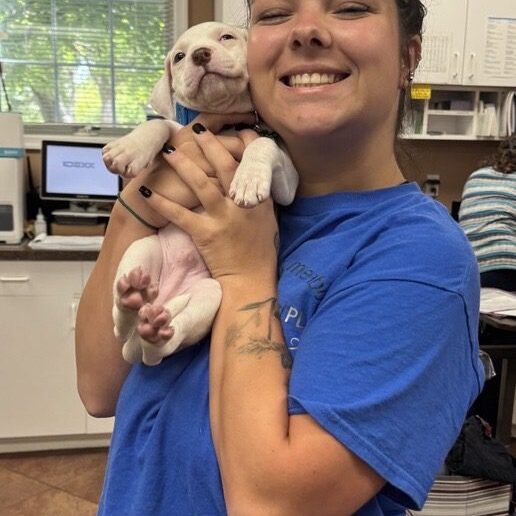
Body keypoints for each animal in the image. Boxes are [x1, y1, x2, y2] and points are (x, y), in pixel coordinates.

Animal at [107, 22, 298, 364]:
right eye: (179, 57)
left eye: (226, 37)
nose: (200, 55)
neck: (226, 124)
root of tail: (163, 297)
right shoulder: (180, 135)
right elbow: (159, 126)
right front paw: (128, 148)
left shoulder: (289, 182)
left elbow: (263, 143)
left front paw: (248, 179)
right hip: (141, 250)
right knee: (121, 320)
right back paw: (131, 299)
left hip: (209, 295)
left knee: (165, 342)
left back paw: (152, 326)